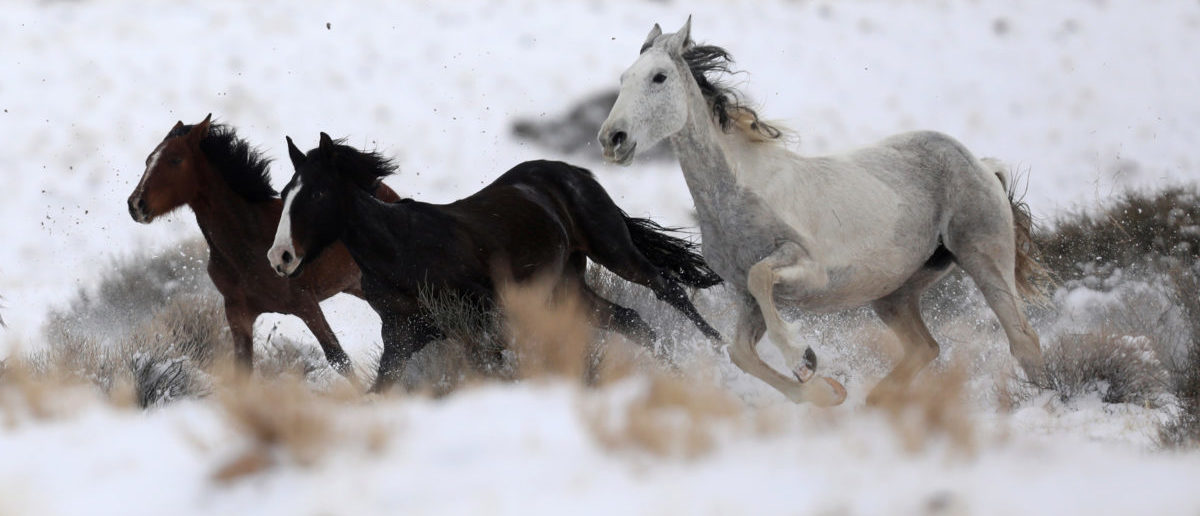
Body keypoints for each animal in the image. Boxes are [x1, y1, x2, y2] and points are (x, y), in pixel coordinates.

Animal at [126, 114, 400, 376]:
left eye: (175, 160)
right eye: (149, 160)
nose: (135, 204)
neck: (248, 243)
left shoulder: (306, 304)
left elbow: (339, 359)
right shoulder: (238, 312)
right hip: (358, 286)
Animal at [270, 135, 720, 393]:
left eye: (317, 193)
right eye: (284, 192)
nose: (280, 257)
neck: (401, 251)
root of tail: (571, 170)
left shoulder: (486, 317)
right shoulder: (401, 337)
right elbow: (380, 390)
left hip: (611, 247)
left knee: (667, 287)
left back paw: (716, 350)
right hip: (567, 284)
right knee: (630, 319)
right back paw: (677, 372)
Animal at [597, 17, 1041, 408]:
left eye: (659, 77)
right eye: (623, 79)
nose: (612, 139)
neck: (736, 195)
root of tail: (981, 164)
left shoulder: (808, 271)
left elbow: (762, 277)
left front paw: (803, 359)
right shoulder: (747, 300)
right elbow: (740, 352)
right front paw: (823, 391)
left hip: (985, 261)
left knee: (1023, 340)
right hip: (894, 294)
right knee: (925, 348)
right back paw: (875, 402)